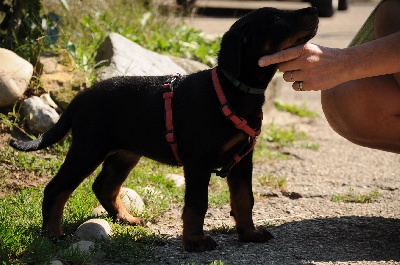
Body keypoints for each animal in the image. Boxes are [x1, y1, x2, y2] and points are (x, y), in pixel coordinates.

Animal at [10, 7, 318, 252]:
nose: (314, 9)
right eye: (277, 18)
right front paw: (195, 241)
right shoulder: (198, 161)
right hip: (89, 147)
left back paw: (125, 218)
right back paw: (52, 234)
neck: (233, 91)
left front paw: (249, 233)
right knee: (56, 188)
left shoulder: (243, 160)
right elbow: (197, 203)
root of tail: (79, 98)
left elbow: (245, 198)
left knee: (104, 186)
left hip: (125, 152)